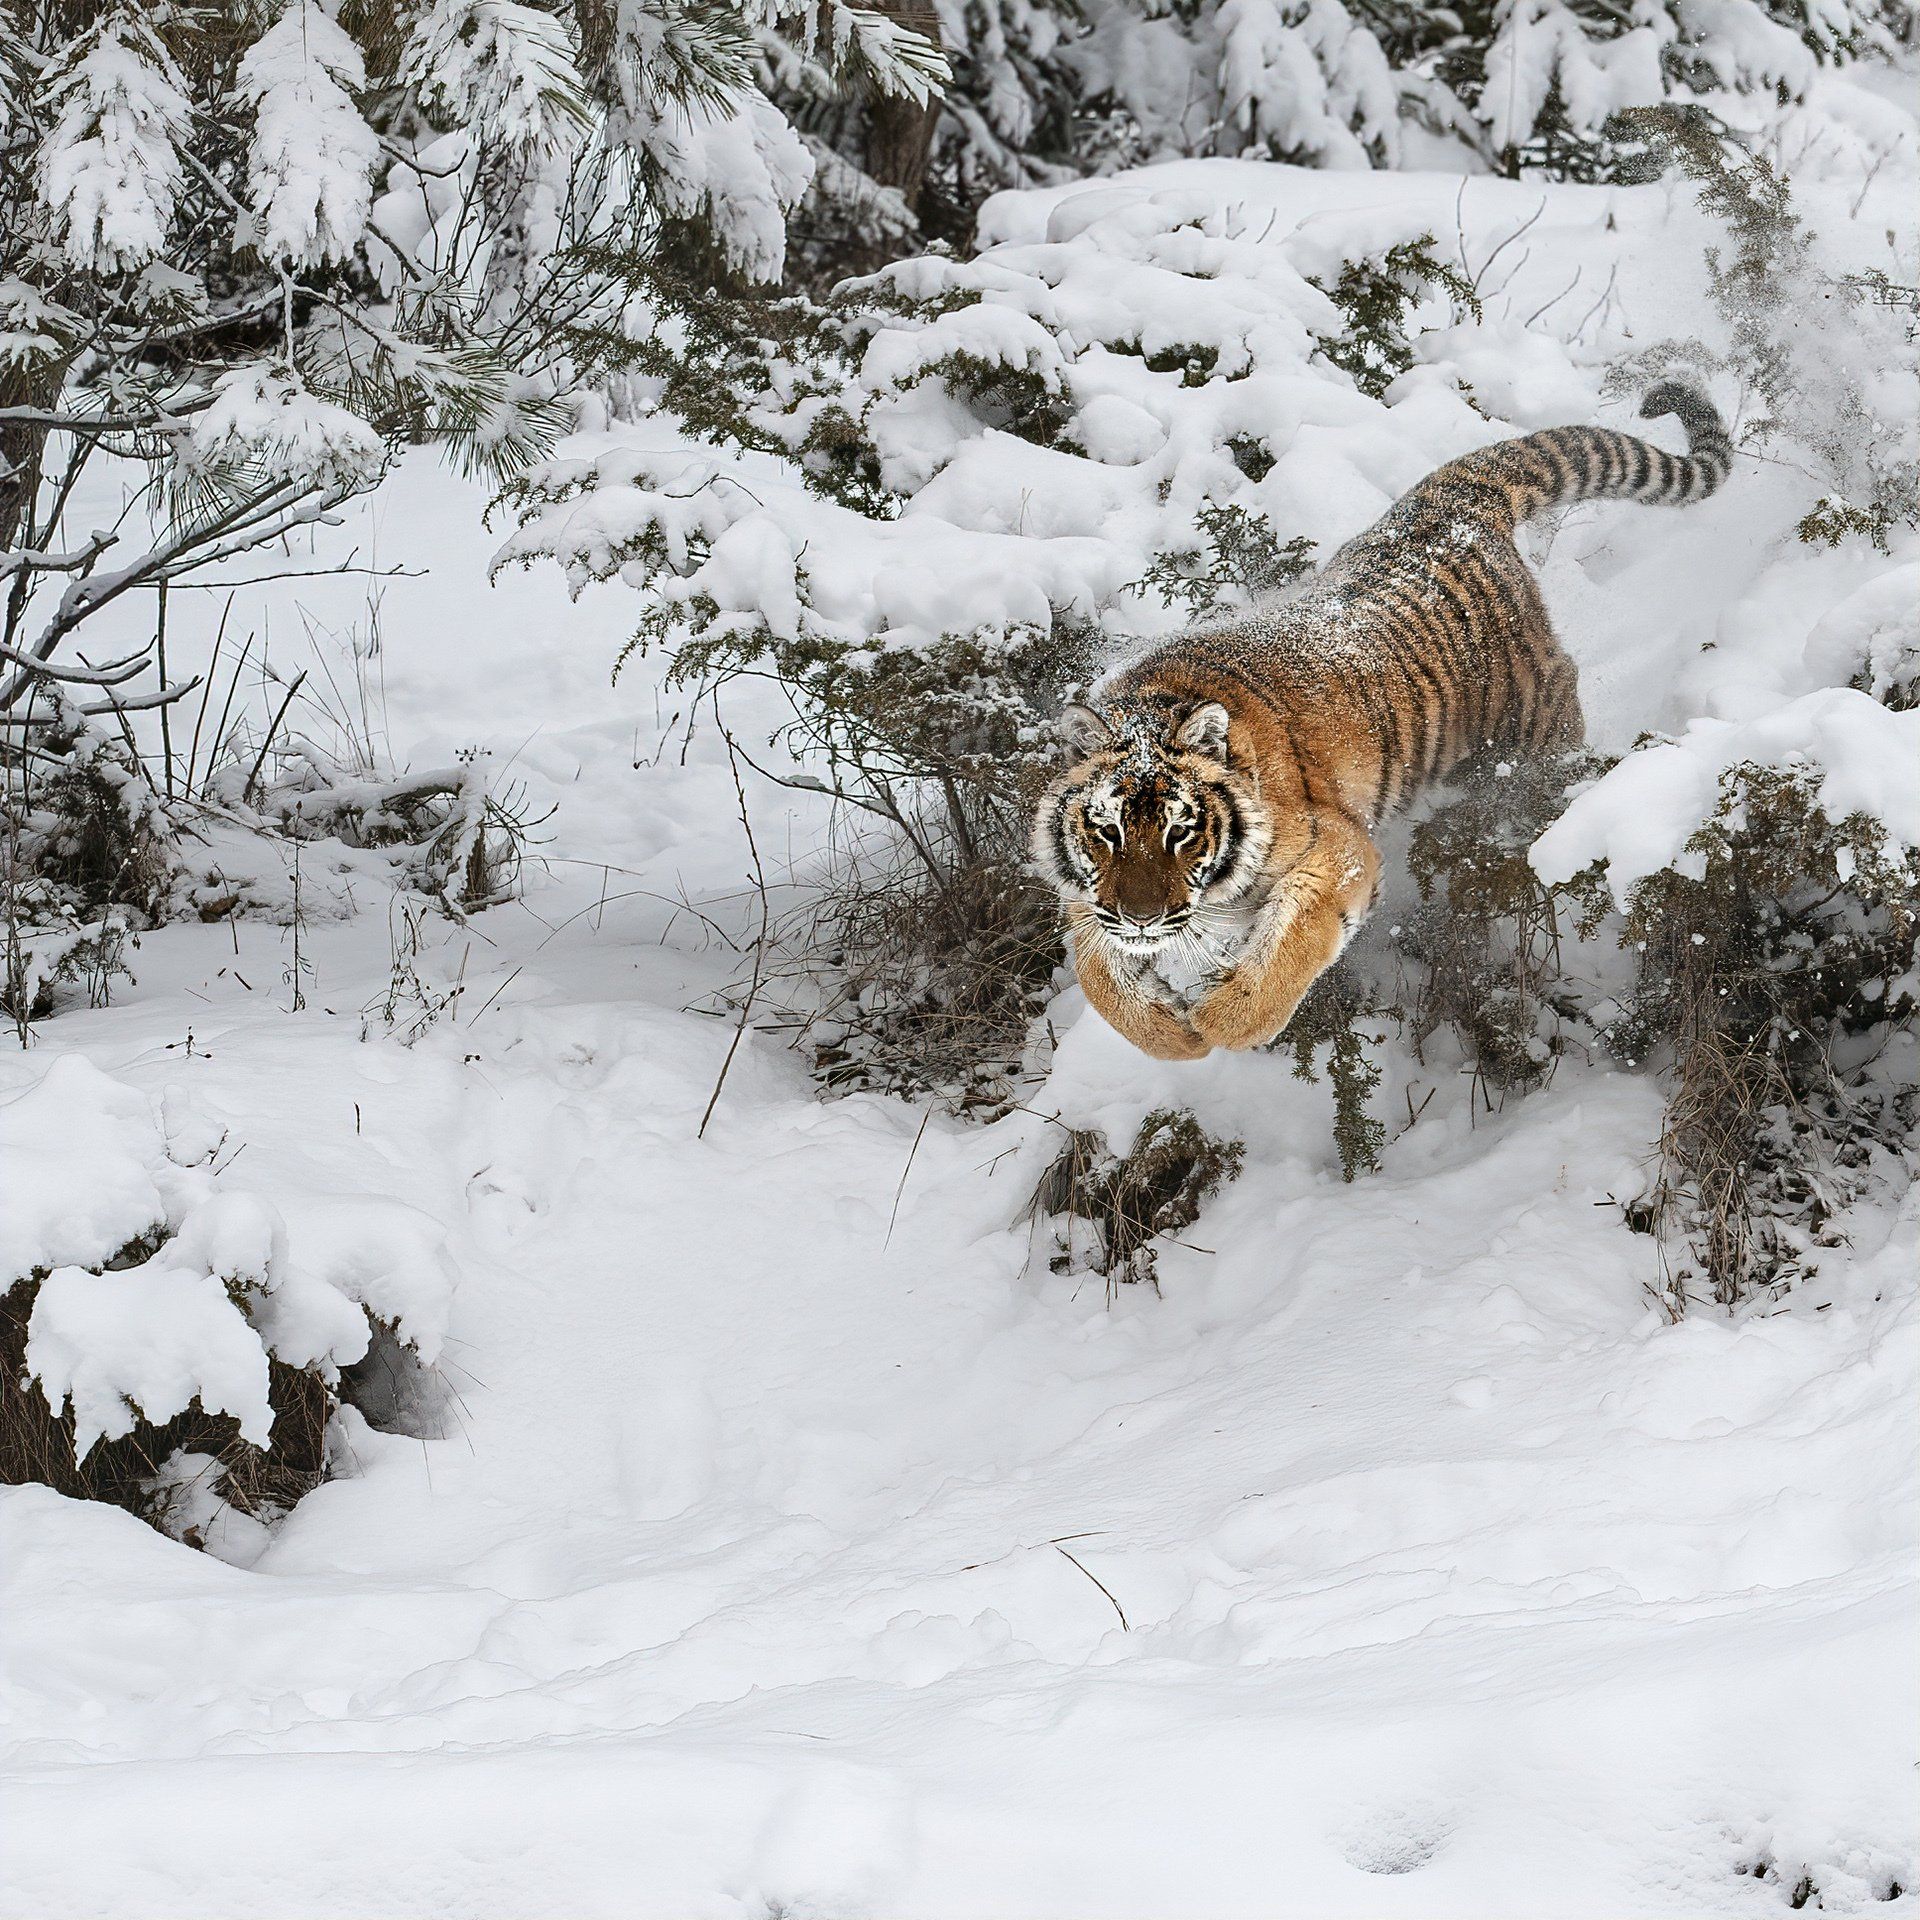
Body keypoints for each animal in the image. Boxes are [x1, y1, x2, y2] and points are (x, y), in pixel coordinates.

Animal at [1031, 380, 1733, 1061]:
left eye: (1180, 832)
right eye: (1107, 832)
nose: (1142, 918)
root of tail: (1457, 504)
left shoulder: (1339, 852)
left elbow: (1289, 948)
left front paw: (1221, 1024)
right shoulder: (1086, 899)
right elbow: (1101, 982)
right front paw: (1168, 1034)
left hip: (1538, 723)